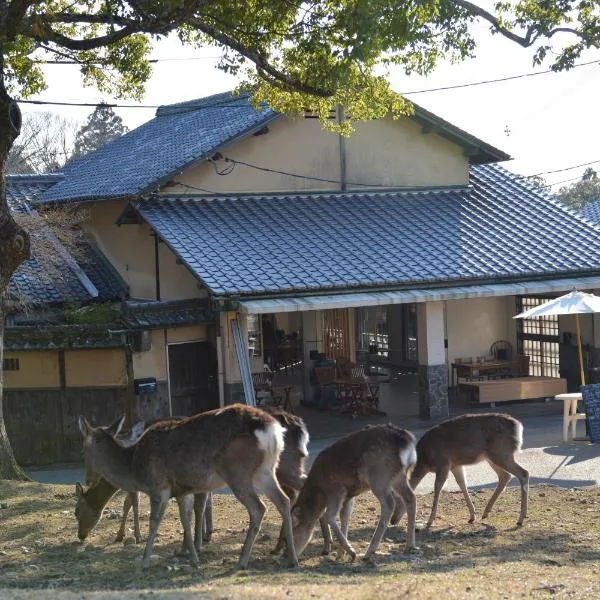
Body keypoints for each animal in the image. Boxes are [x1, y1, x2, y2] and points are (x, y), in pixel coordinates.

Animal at [77, 404, 298, 568]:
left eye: (84, 451)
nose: (88, 478)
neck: (134, 467)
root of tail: (273, 430)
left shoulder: (159, 487)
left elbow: (155, 521)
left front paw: (145, 560)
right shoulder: (182, 491)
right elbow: (186, 519)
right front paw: (193, 557)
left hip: (238, 472)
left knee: (259, 508)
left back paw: (243, 560)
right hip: (266, 470)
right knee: (284, 500)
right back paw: (291, 558)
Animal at [290, 424, 418, 560]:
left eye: (289, 538)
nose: (285, 554)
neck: (319, 490)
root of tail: (407, 442)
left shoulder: (337, 490)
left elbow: (329, 516)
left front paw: (351, 551)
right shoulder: (349, 496)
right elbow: (344, 516)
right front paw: (340, 554)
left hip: (378, 476)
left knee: (389, 503)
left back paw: (369, 551)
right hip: (399, 476)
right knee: (410, 497)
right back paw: (410, 545)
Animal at [396, 412, 528, 528]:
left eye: (400, 500)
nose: (393, 520)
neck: (425, 461)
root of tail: (518, 427)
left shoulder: (443, 463)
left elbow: (437, 488)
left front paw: (429, 521)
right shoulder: (455, 465)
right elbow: (462, 484)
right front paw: (472, 516)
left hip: (502, 453)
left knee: (523, 473)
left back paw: (520, 519)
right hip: (492, 457)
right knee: (505, 476)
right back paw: (486, 512)